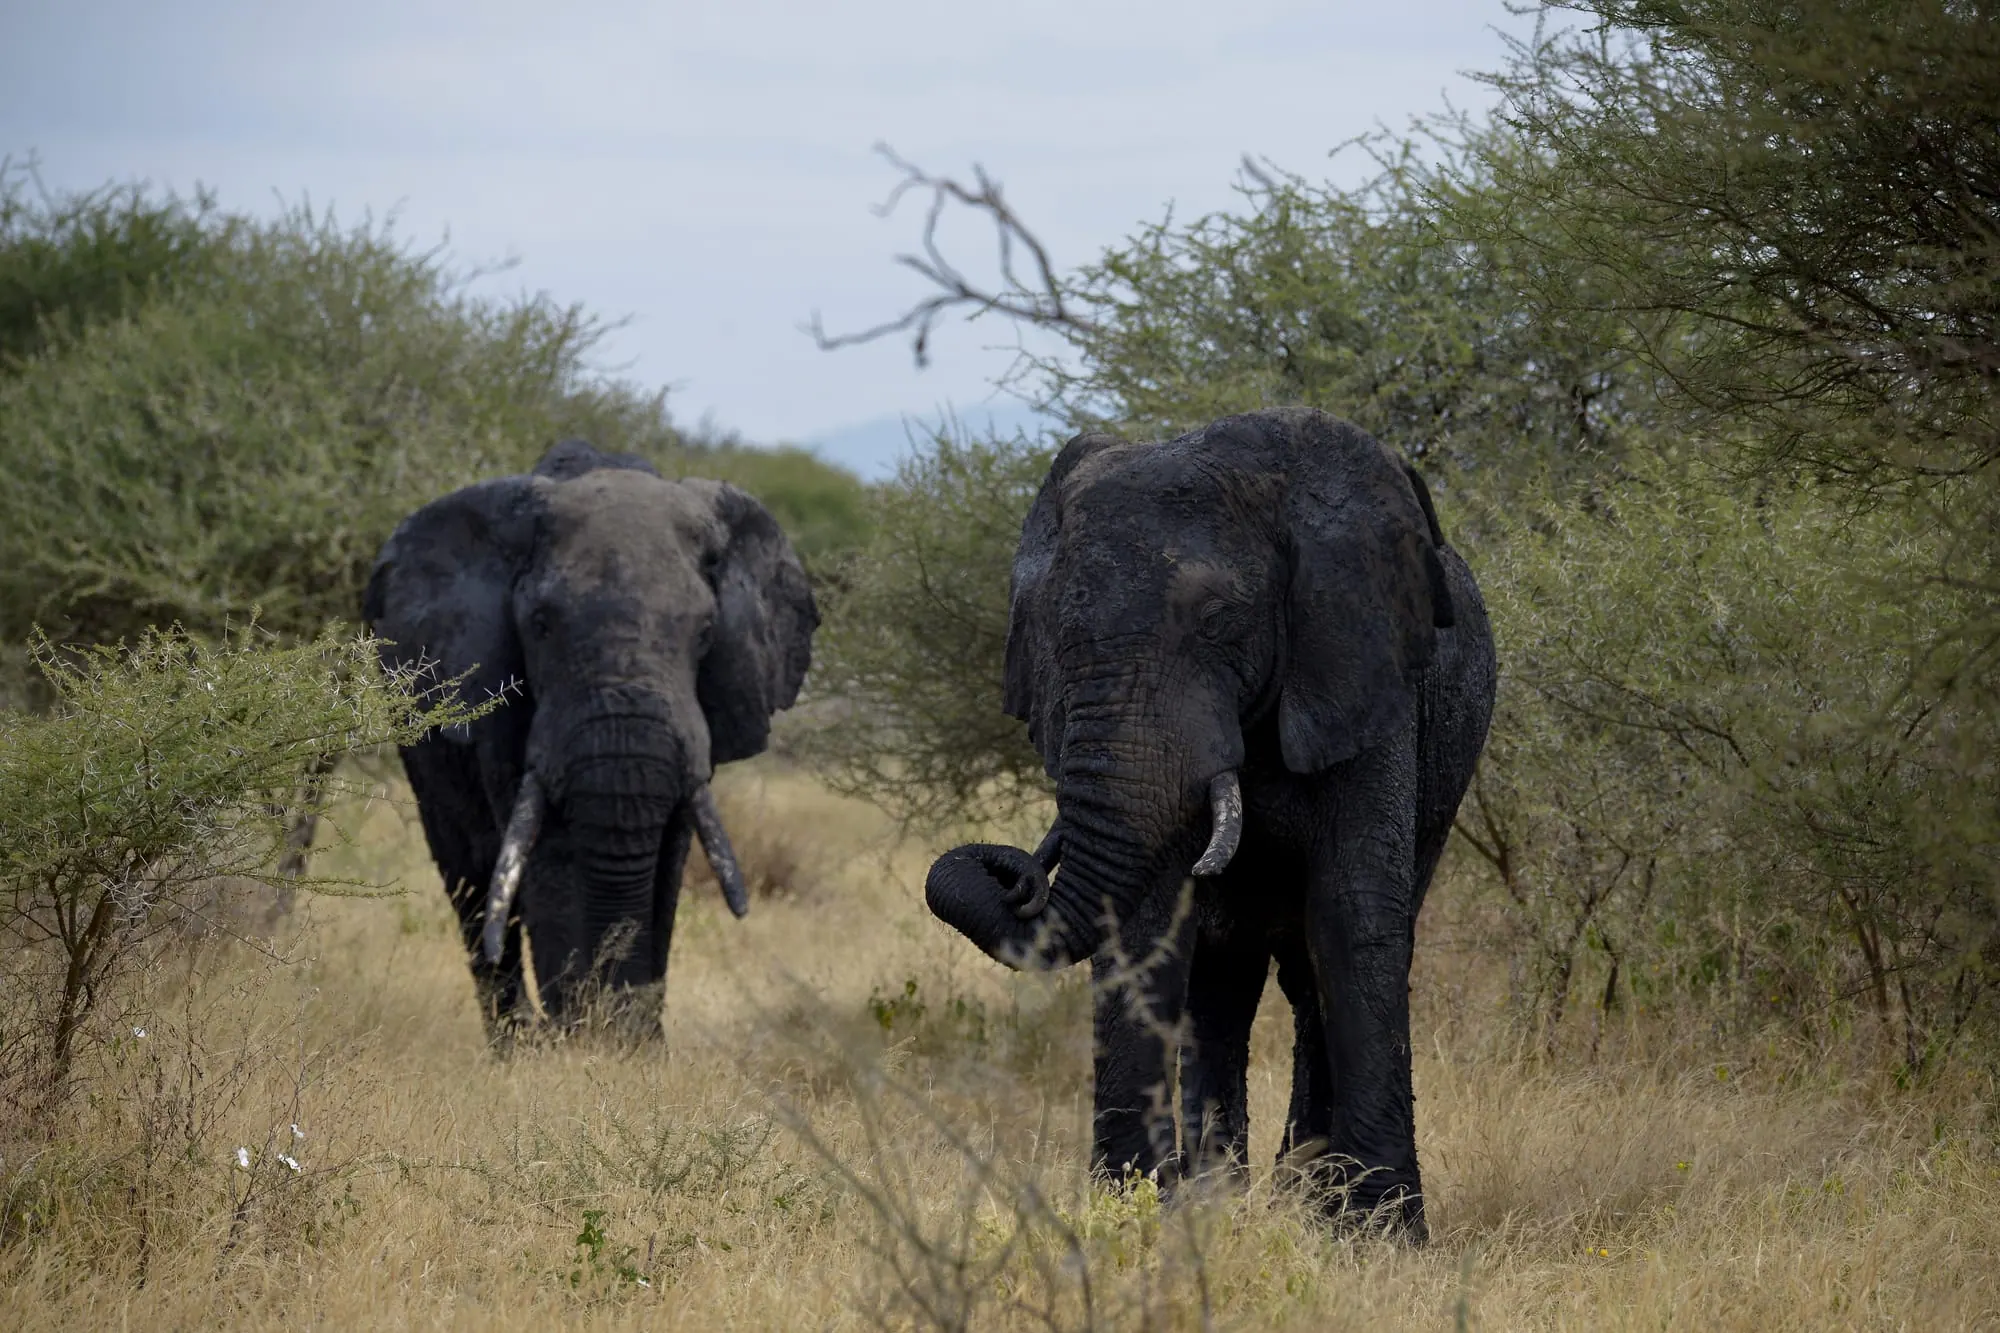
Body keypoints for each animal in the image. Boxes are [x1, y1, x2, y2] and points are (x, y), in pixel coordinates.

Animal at [363, 438, 818, 1040]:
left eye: (705, 632)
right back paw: (518, 1042)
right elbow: (549, 852)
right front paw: (584, 1042)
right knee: (473, 881)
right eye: (540, 625)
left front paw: (632, 1044)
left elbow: (668, 854)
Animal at [923, 407, 1495, 1239]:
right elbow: (1148, 925)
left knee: (1307, 968)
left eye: (1221, 620)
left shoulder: (1367, 673)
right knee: (1223, 976)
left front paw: (1381, 1234)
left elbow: (1353, 917)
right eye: (1053, 636)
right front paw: (1129, 1209)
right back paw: (1219, 1194)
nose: (1016, 875)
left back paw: (1301, 1197)